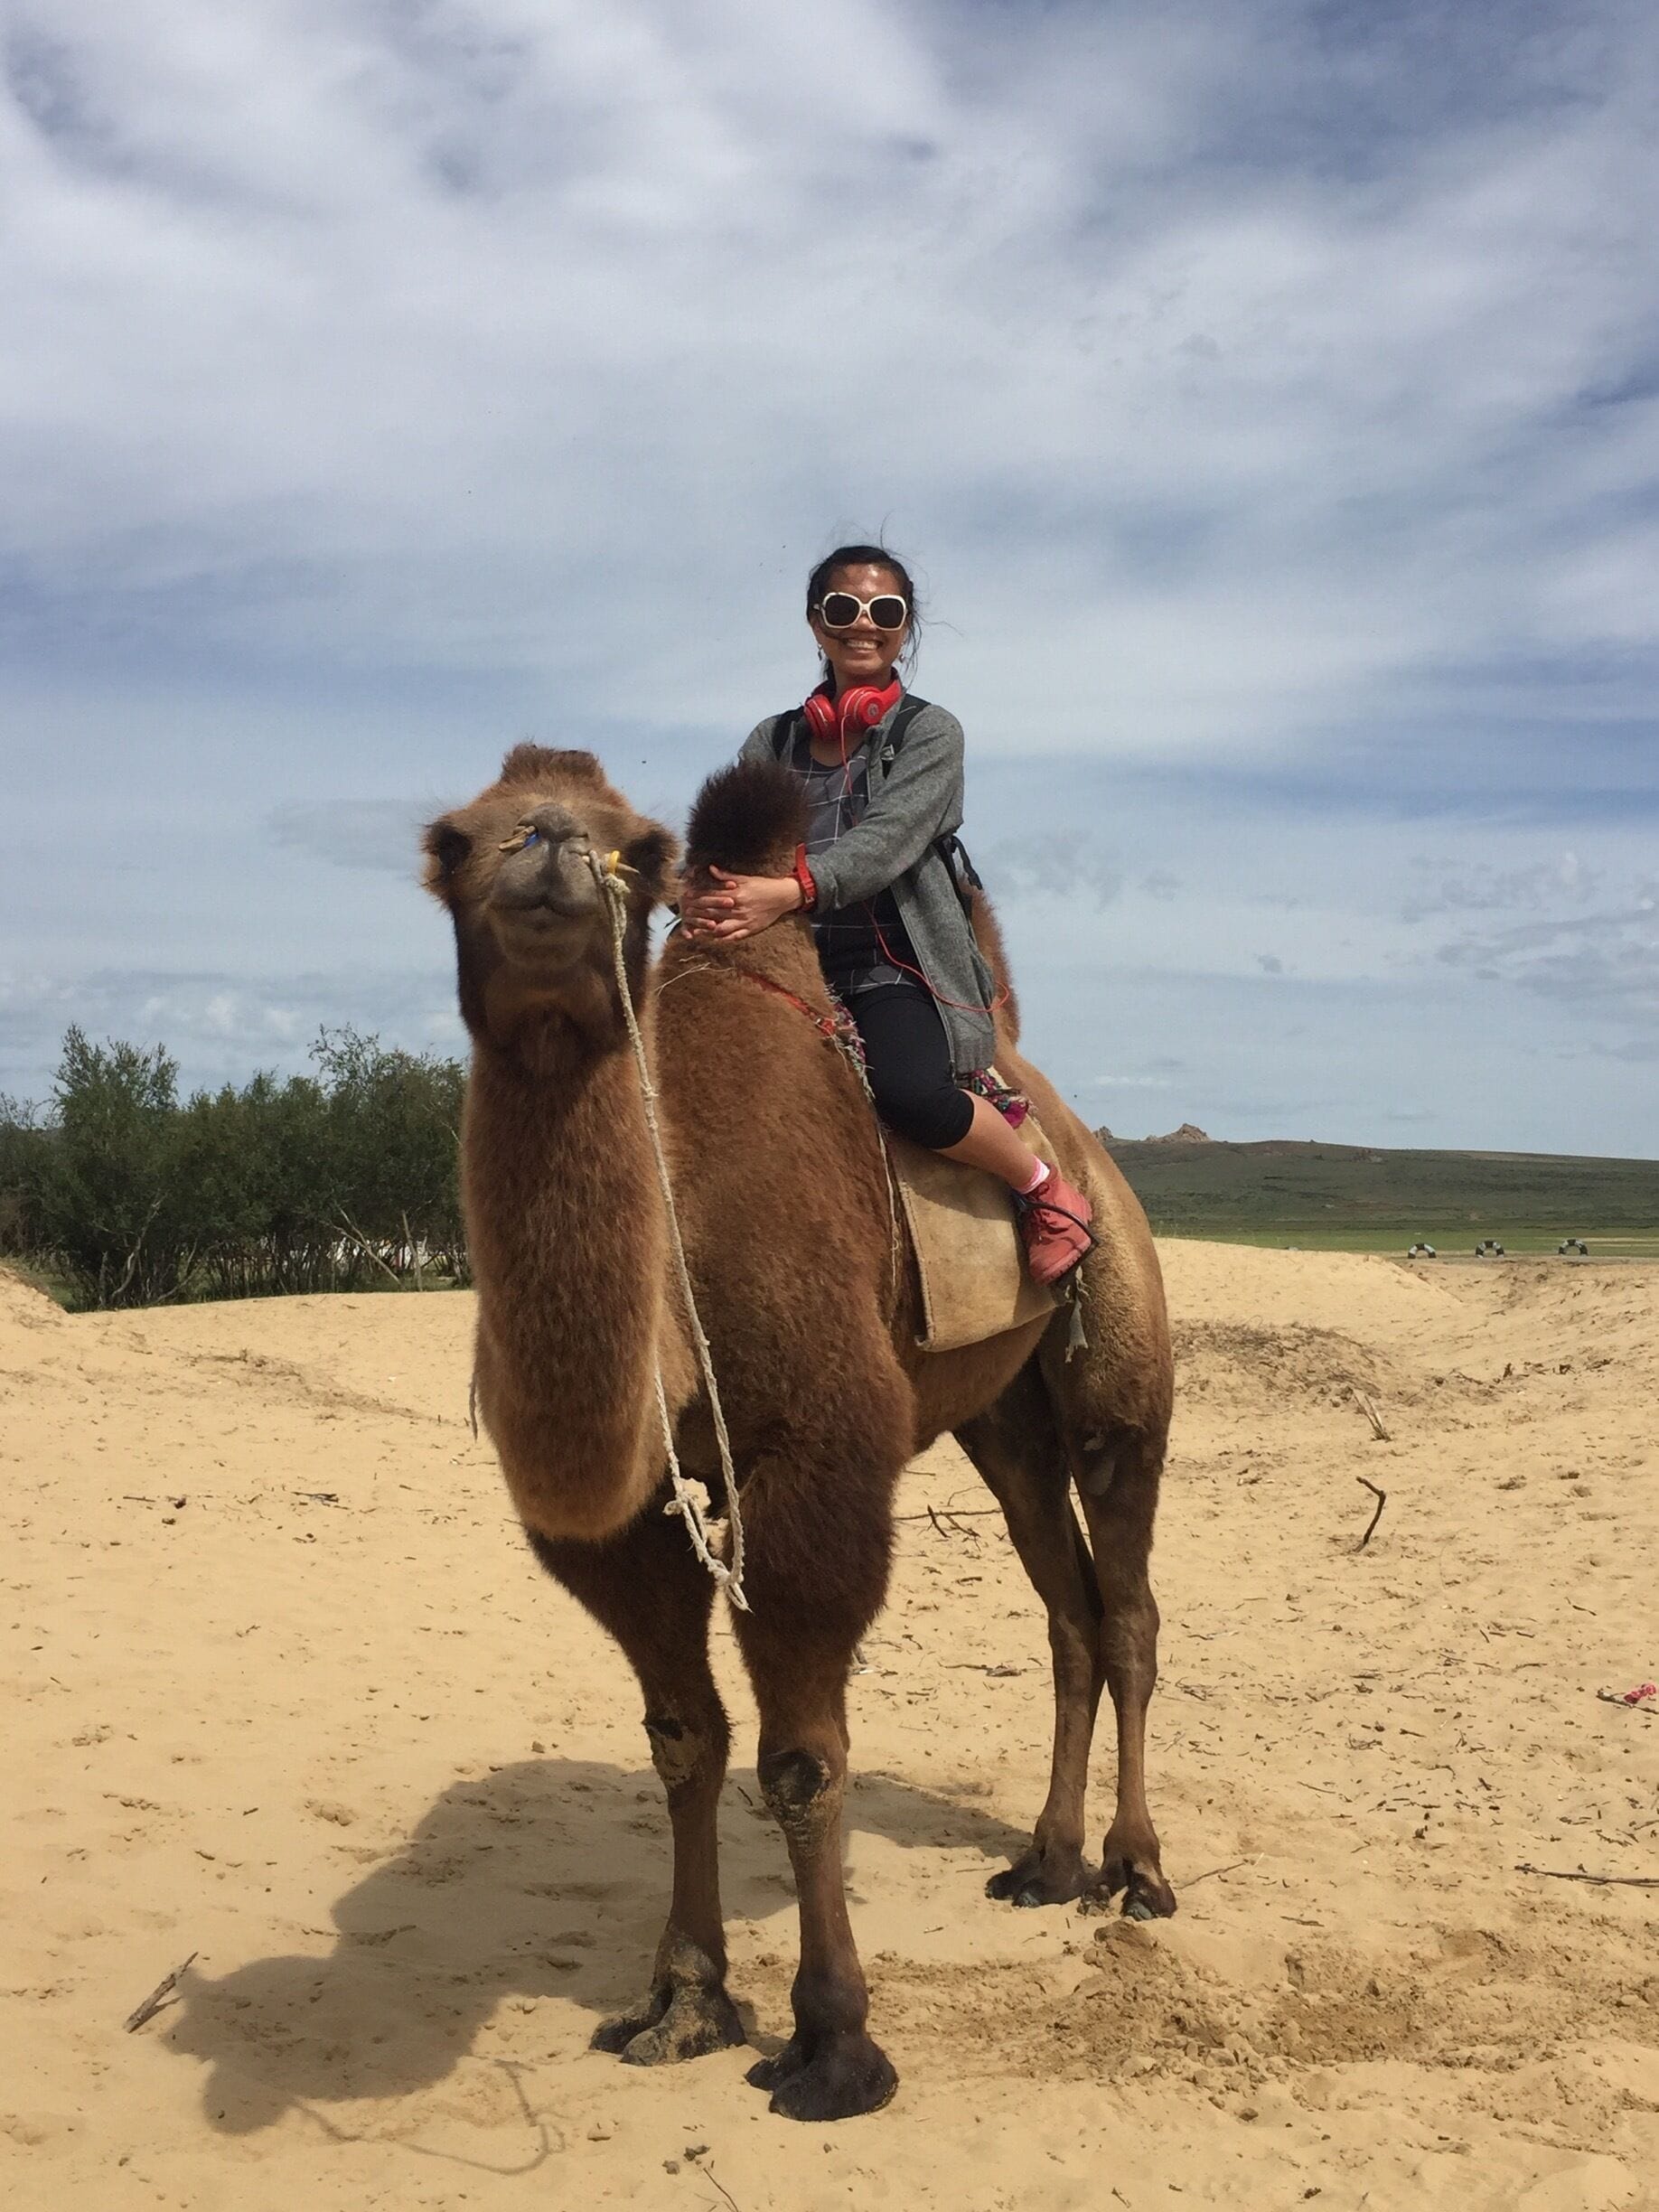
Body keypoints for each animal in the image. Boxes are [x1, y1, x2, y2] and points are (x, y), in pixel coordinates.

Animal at [423, 743, 1175, 2122]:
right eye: (452, 840)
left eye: (642, 847)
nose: (548, 847)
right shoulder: (632, 1520)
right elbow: (684, 1742)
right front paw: (681, 1999)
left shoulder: (815, 1465)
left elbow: (802, 1759)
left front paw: (833, 2044)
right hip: (1002, 1423)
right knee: (1070, 1611)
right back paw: (1047, 1865)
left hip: (1119, 1366)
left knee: (1131, 1602)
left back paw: (1138, 1870)